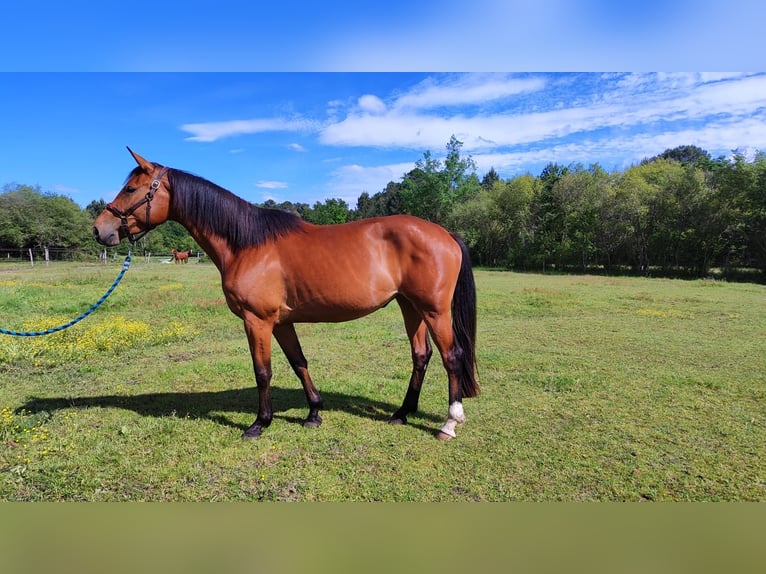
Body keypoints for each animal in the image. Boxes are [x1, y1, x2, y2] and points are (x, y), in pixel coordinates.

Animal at [93, 148, 480, 440]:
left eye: (131, 189)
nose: (100, 229)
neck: (247, 243)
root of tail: (445, 233)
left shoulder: (257, 321)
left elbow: (262, 371)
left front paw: (259, 423)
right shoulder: (281, 322)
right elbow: (299, 363)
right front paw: (313, 413)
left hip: (434, 310)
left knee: (452, 356)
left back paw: (449, 423)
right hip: (409, 306)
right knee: (421, 355)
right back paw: (402, 412)